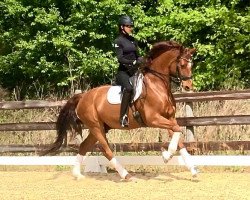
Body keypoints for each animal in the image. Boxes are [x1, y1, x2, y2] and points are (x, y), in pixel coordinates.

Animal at [41, 40, 198, 180]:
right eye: (182, 64)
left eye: (192, 65)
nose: (188, 86)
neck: (157, 85)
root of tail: (83, 96)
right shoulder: (153, 119)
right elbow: (177, 131)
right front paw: (166, 156)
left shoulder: (169, 118)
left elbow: (178, 136)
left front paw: (193, 169)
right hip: (96, 127)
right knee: (106, 150)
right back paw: (126, 175)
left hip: (100, 127)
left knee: (84, 146)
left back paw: (77, 174)